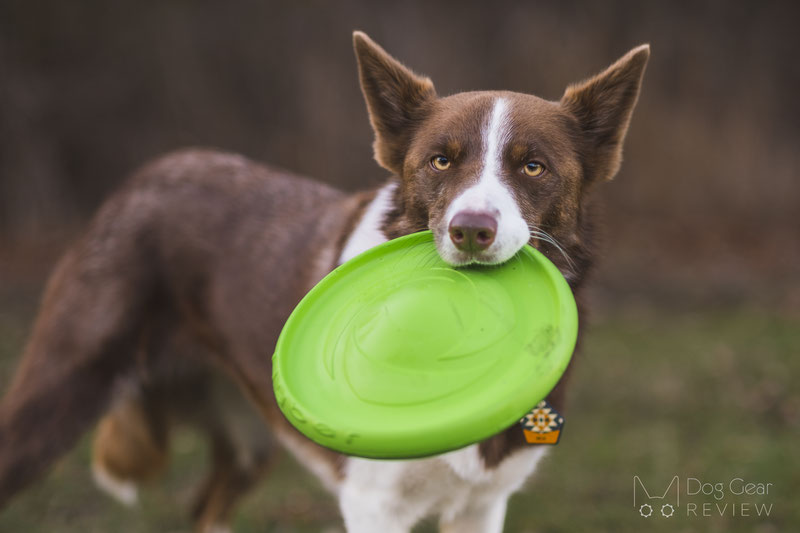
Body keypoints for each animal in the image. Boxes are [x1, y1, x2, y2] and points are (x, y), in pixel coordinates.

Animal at [0, 33, 648, 532]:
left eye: (533, 167)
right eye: (440, 161)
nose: (470, 231)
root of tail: (144, 176)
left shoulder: (483, 505)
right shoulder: (374, 504)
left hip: (249, 436)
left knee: (206, 507)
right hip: (59, 389)